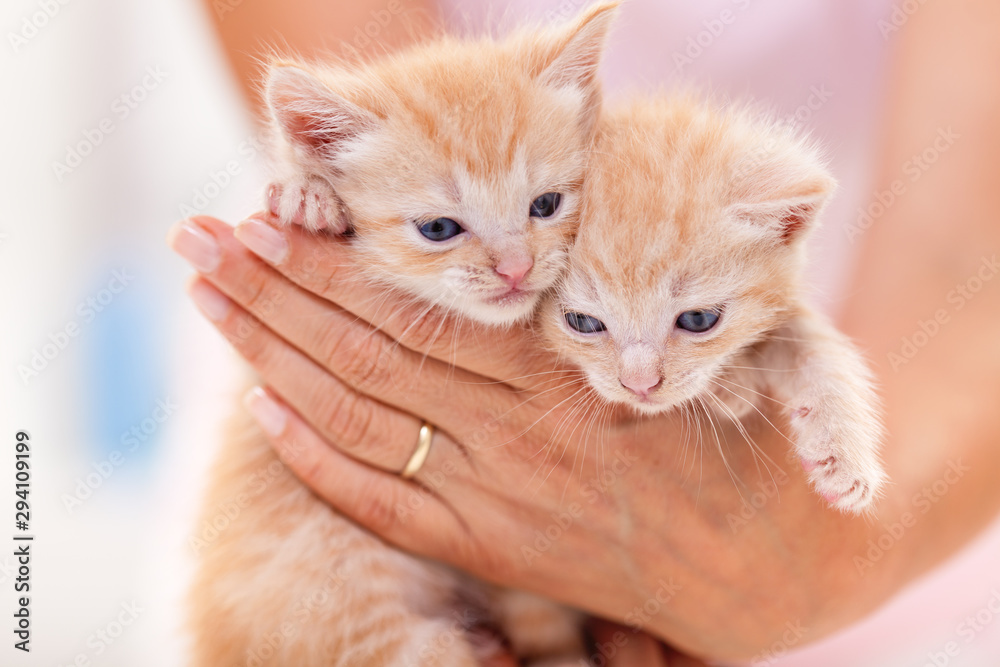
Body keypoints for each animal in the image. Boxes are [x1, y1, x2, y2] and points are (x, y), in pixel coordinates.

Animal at [544, 96, 888, 516]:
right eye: (582, 322)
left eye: (698, 319)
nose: (640, 385)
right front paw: (734, 387)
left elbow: (820, 350)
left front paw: (840, 450)